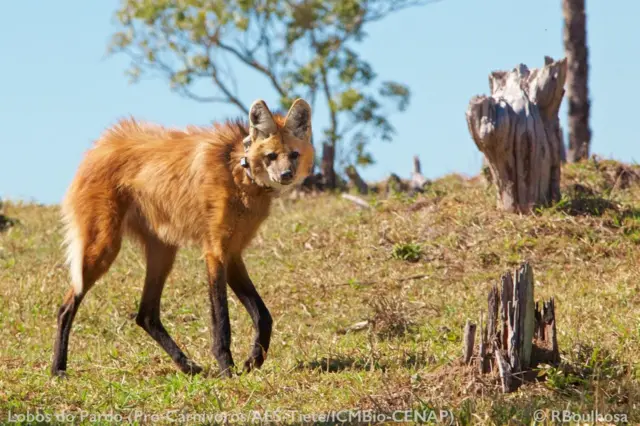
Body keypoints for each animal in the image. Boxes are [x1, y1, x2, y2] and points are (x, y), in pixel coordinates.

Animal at [52, 99, 316, 376]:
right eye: (271, 156)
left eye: (294, 155)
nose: (286, 175)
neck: (238, 172)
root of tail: (97, 146)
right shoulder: (215, 252)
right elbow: (221, 321)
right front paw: (227, 368)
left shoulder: (232, 253)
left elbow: (263, 316)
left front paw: (253, 361)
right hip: (104, 247)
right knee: (65, 308)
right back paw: (58, 369)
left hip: (163, 251)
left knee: (146, 314)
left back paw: (187, 365)